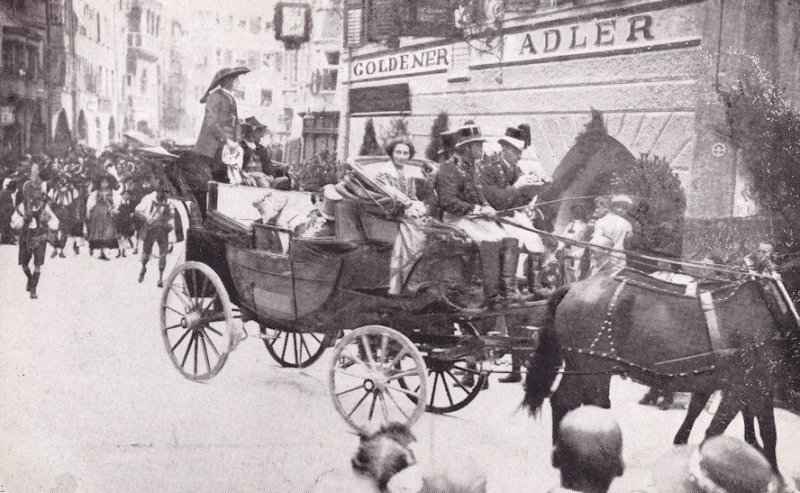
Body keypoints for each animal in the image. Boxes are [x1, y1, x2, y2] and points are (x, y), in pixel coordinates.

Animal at [520, 268, 796, 474]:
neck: (769, 304)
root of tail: (575, 287)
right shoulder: (745, 385)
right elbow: (726, 431)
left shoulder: (755, 387)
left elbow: (762, 432)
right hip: (593, 366)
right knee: (593, 407)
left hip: (579, 365)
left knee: (562, 400)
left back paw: (560, 455)